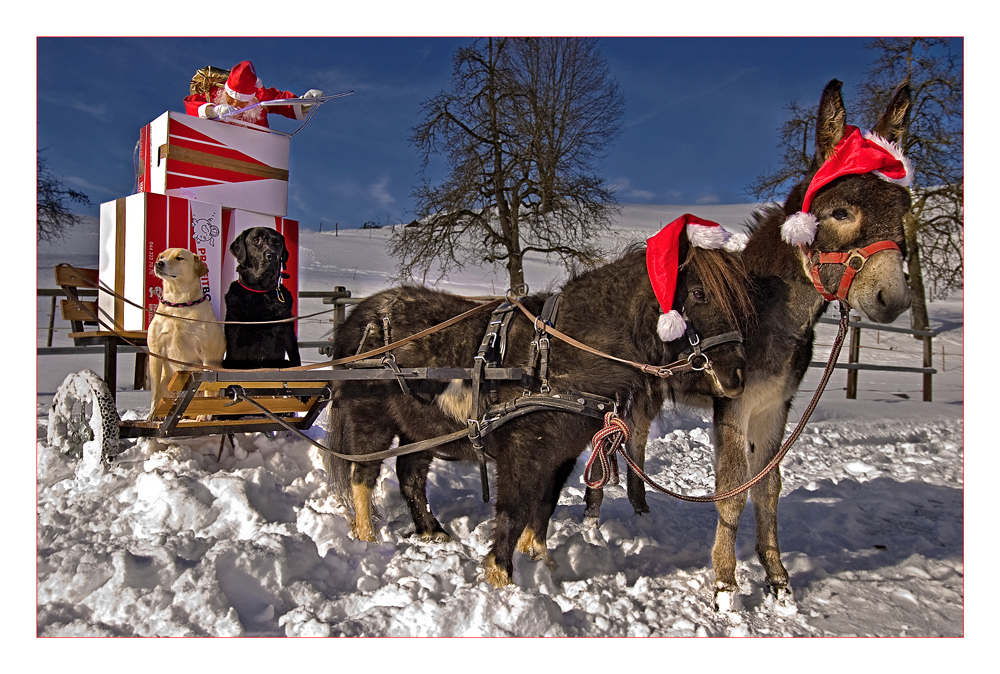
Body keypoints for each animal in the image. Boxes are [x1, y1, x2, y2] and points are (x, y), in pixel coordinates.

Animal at [225, 226, 302, 368]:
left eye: (278, 244)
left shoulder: (286, 332)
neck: (260, 292)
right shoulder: (235, 332)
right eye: (256, 240)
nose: (272, 256)